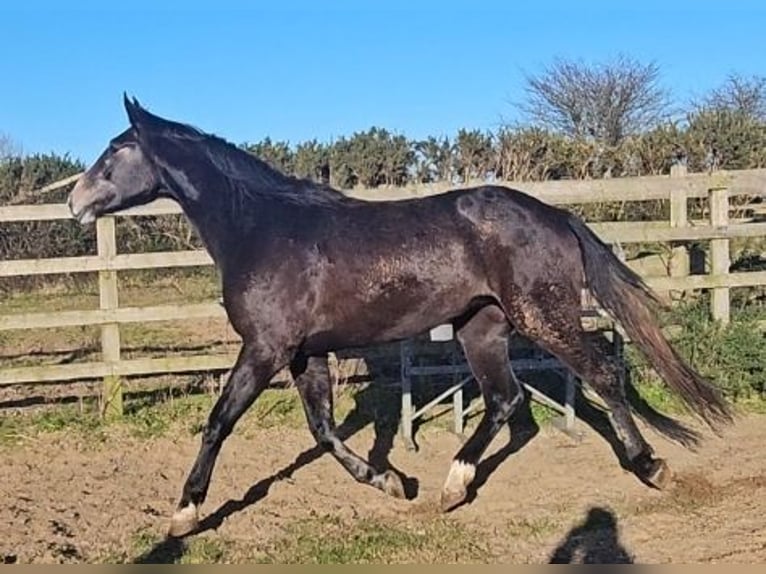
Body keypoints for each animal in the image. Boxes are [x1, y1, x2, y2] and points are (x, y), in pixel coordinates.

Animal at [67, 95, 733, 538]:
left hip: (541, 316)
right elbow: (323, 430)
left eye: (117, 149)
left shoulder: (265, 348)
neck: (262, 228)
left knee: (601, 375)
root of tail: (556, 214)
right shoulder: (304, 353)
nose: (74, 200)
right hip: (482, 327)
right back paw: (452, 486)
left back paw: (650, 466)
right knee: (506, 400)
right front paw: (390, 481)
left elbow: (217, 424)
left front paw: (184, 513)